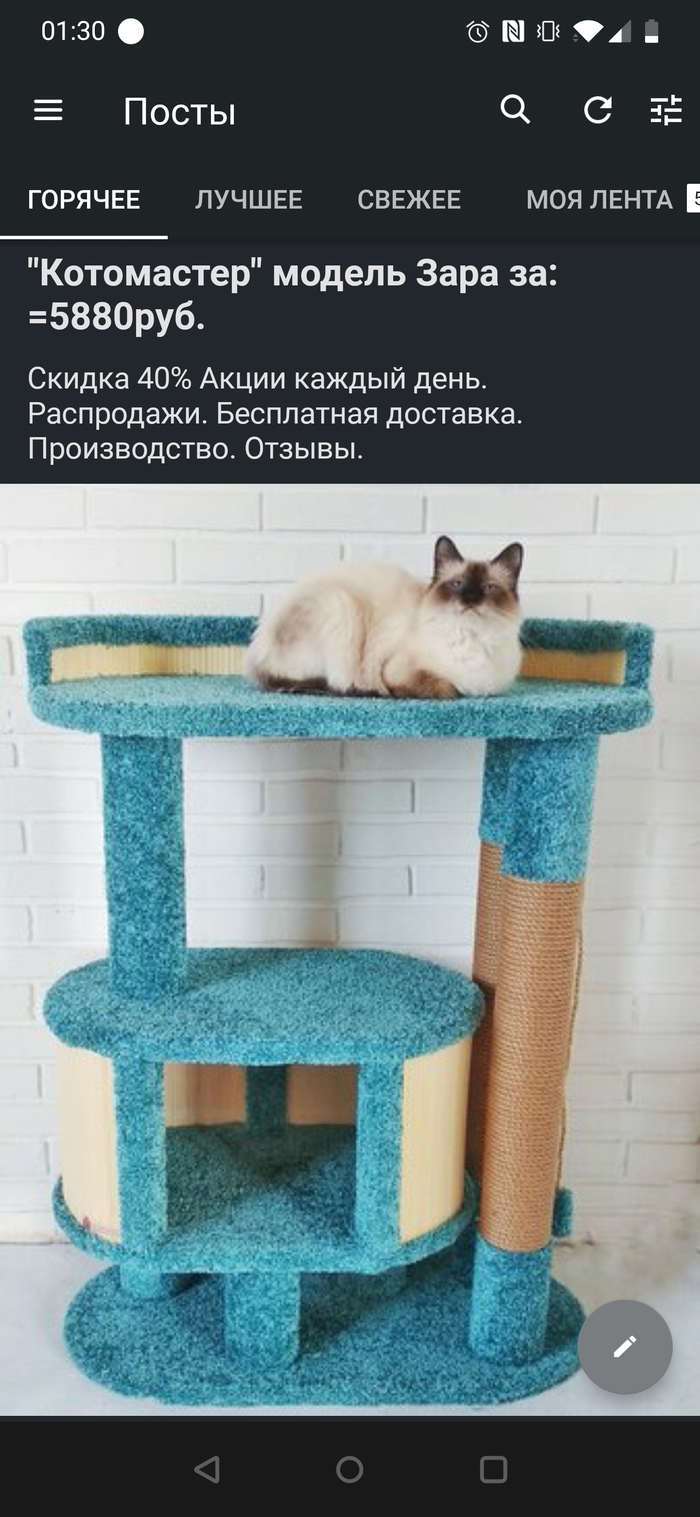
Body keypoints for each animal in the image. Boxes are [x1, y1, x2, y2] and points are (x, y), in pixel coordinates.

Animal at [244, 536, 524, 700]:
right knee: (333, 683)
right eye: (457, 584)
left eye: (488, 588)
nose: (470, 600)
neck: (472, 639)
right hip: (342, 608)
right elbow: (449, 689)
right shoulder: (398, 671)